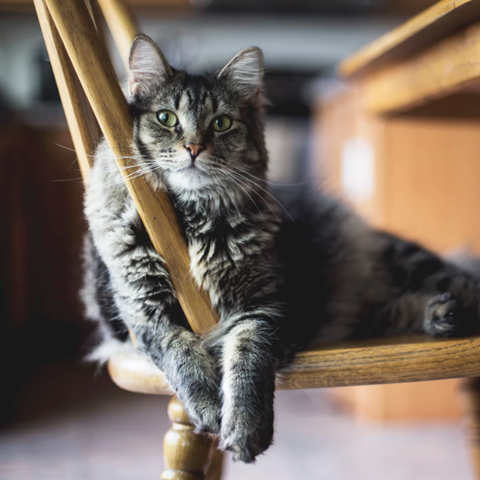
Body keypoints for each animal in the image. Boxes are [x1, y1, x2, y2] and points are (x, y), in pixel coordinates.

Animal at [81, 32, 480, 462]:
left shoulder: (264, 307)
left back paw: (448, 312)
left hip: (404, 264)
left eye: (221, 123)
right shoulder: (144, 313)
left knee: (461, 282)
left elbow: (248, 362)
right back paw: (442, 315)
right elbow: (181, 354)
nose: (193, 148)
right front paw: (208, 408)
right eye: (166, 118)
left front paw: (244, 427)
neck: (191, 220)